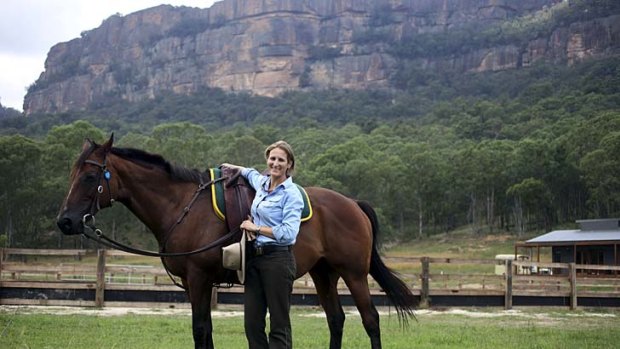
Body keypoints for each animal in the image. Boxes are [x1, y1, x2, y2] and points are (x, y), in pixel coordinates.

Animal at [55, 135, 414, 346]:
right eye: (72, 174)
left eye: (90, 176)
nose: (65, 221)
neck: (181, 205)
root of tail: (353, 203)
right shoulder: (192, 284)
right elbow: (206, 328)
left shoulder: (200, 279)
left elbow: (200, 329)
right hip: (323, 273)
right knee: (336, 320)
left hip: (354, 274)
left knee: (370, 320)